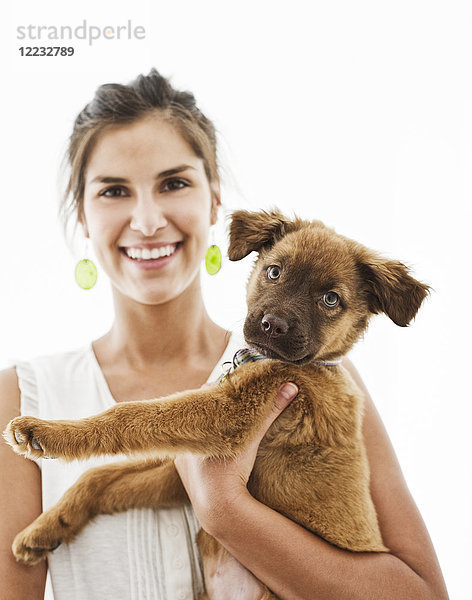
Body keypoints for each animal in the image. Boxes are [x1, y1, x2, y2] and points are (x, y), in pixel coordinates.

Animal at [4, 209, 432, 596]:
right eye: (274, 272)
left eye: (330, 299)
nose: (272, 326)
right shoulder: (182, 472)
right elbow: (103, 477)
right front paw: (46, 527)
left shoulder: (229, 415)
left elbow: (129, 416)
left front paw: (46, 433)